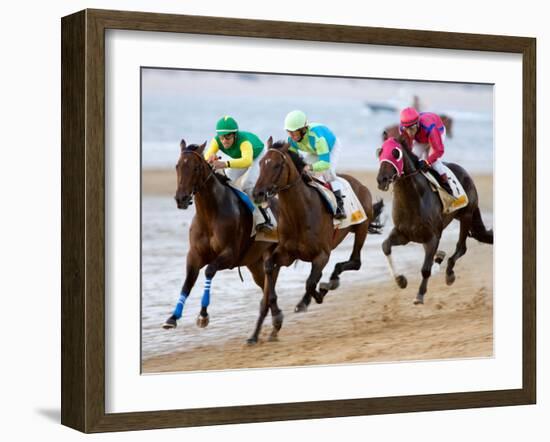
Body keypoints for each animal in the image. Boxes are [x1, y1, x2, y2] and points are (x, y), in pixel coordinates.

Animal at [163, 140, 284, 344]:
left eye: (195, 168)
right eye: (178, 166)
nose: (181, 199)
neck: (210, 214)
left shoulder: (229, 254)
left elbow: (209, 271)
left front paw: (203, 315)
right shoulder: (194, 255)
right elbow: (187, 282)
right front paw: (172, 318)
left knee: (271, 286)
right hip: (254, 263)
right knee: (268, 288)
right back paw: (276, 321)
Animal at [253, 138, 386, 338]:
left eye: (276, 165)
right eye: (260, 163)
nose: (257, 193)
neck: (299, 214)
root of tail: (359, 184)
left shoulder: (322, 255)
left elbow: (310, 283)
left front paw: (313, 297)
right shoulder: (287, 254)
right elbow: (270, 266)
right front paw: (278, 314)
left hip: (361, 227)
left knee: (355, 262)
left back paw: (330, 283)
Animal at [378, 136, 494, 306]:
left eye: (395, 153)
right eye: (379, 151)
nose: (381, 179)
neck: (413, 199)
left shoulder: (432, 237)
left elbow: (425, 269)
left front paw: (419, 294)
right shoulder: (403, 234)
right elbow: (386, 246)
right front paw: (400, 280)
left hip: (466, 215)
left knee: (461, 247)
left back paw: (449, 272)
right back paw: (439, 258)